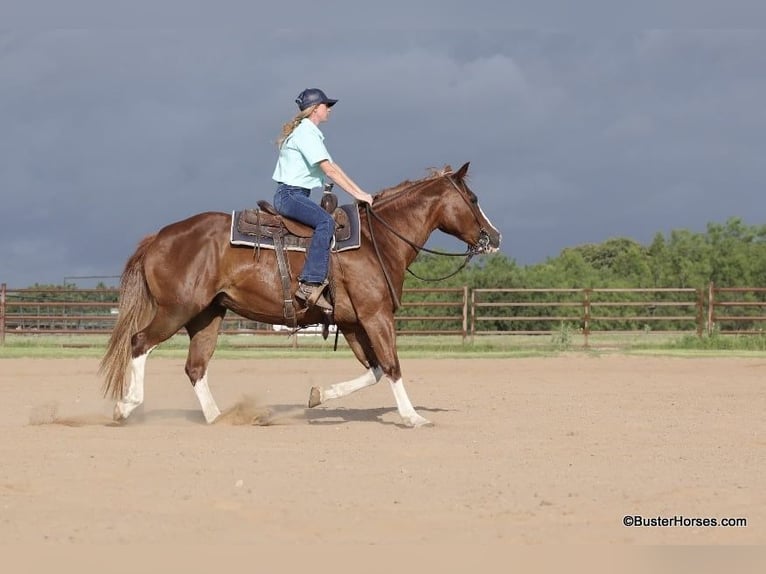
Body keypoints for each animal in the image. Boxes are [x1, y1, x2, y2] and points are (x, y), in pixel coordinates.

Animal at [99, 162, 501, 427]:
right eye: (473, 197)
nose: (494, 237)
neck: (379, 241)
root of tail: (158, 238)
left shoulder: (352, 323)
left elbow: (373, 369)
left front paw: (318, 395)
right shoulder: (376, 316)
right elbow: (391, 365)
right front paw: (413, 416)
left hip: (207, 315)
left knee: (195, 366)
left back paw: (219, 417)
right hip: (176, 310)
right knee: (139, 343)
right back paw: (126, 406)